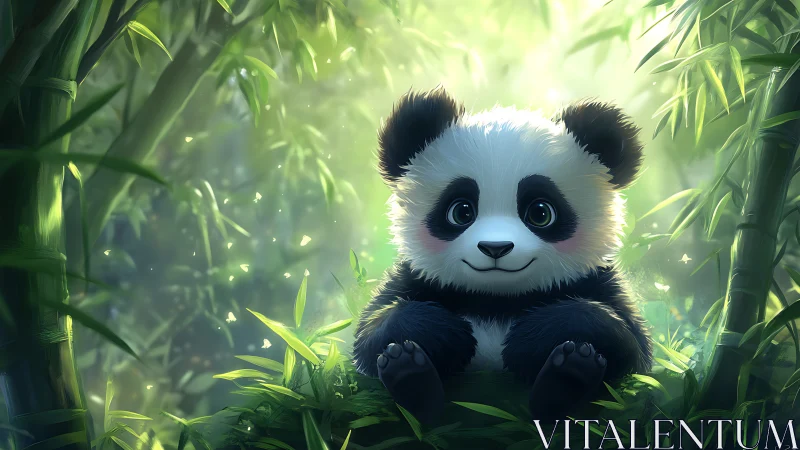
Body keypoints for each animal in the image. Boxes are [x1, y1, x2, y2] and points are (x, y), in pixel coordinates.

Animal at [352, 87, 652, 424]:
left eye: (540, 212)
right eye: (461, 211)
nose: (495, 248)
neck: (496, 301)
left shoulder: (596, 281)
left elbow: (631, 345)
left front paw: (528, 340)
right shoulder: (416, 279)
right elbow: (371, 333)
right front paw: (448, 336)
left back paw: (569, 375)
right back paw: (410, 374)